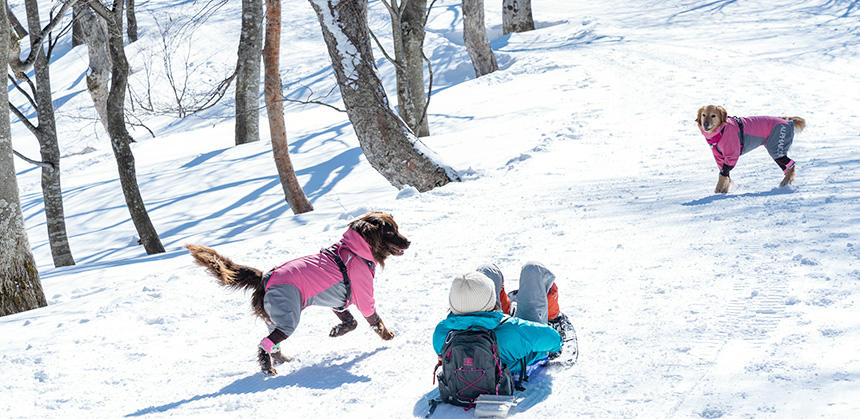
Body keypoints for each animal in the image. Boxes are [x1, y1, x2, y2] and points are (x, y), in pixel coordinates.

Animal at [186, 212, 408, 376]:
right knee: (264, 343)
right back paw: (268, 369)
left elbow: (351, 322)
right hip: (288, 318)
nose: (409, 242)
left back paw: (282, 359)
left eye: (397, 228)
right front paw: (387, 335)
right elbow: (374, 320)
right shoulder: (363, 295)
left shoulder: (338, 301)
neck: (355, 251)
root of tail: (264, 277)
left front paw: (337, 331)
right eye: (391, 231)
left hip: (275, 319)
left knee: (272, 344)